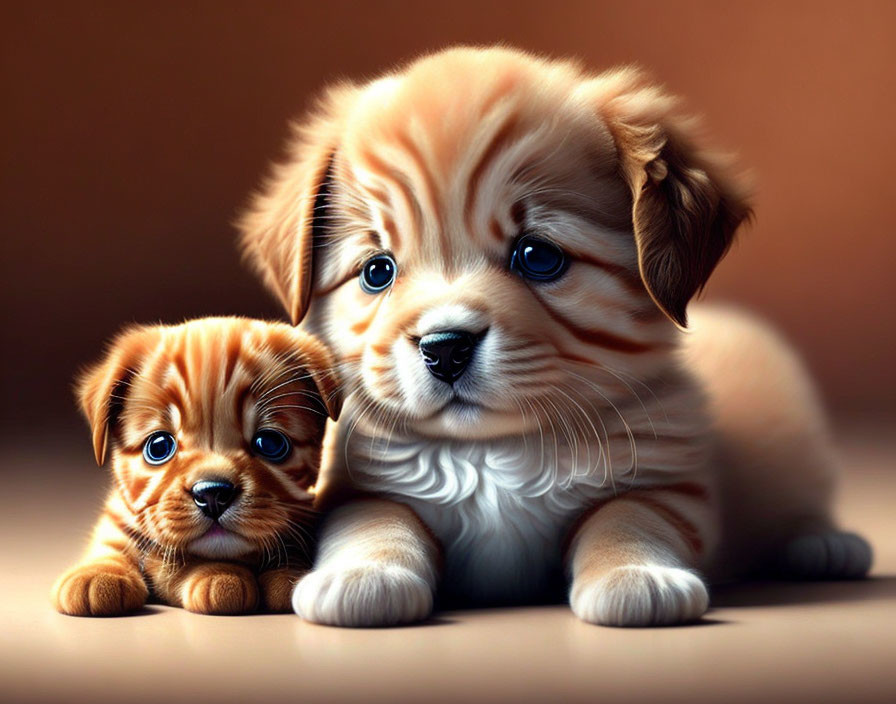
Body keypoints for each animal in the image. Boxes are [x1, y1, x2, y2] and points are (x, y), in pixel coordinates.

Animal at [53, 316, 340, 612]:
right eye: (159, 447)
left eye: (270, 443)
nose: (213, 494)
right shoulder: (118, 521)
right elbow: (116, 546)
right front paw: (99, 574)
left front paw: (288, 575)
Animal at [242, 45, 872, 628]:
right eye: (377, 271)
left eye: (537, 256)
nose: (444, 348)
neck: (493, 453)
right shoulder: (361, 491)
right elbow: (376, 523)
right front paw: (361, 575)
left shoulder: (668, 490)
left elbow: (624, 520)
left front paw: (635, 577)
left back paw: (827, 545)